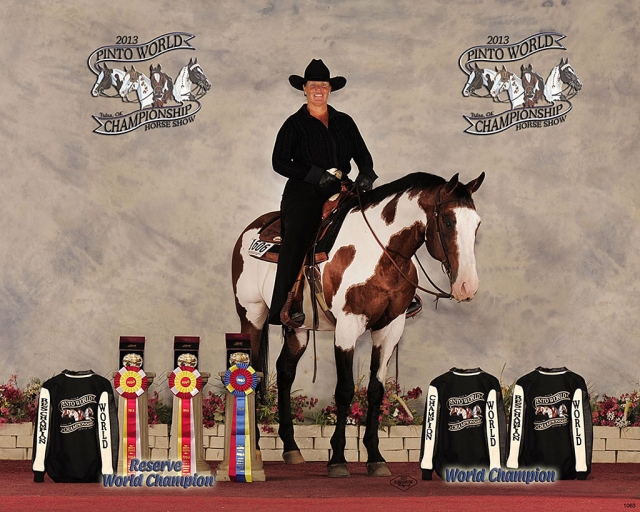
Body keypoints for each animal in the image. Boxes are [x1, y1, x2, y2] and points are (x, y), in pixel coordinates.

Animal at [232, 171, 482, 476]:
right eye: (447, 221)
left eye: (477, 224)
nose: (467, 286)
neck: (379, 252)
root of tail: (251, 229)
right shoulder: (347, 328)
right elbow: (344, 390)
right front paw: (338, 458)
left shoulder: (390, 329)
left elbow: (376, 391)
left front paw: (375, 457)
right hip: (251, 316)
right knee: (253, 371)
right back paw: (253, 448)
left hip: (298, 328)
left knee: (284, 372)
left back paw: (291, 448)